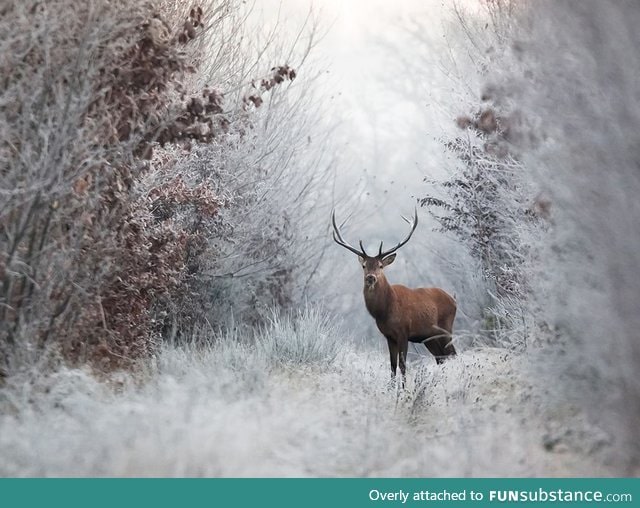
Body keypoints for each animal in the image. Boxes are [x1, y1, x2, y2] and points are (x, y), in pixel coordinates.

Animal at [332, 208, 458, 386]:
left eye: (380, 265)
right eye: (364, 265)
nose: (370, 277)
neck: (385, 311)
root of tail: (454, 300)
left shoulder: (404, 332)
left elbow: (402, 365)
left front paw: (404, 390)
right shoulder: (389, 336)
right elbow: (392, 365)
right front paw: (391, 388)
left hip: (446, 328)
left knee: (452, 355)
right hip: (430, 338)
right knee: (441, 358)